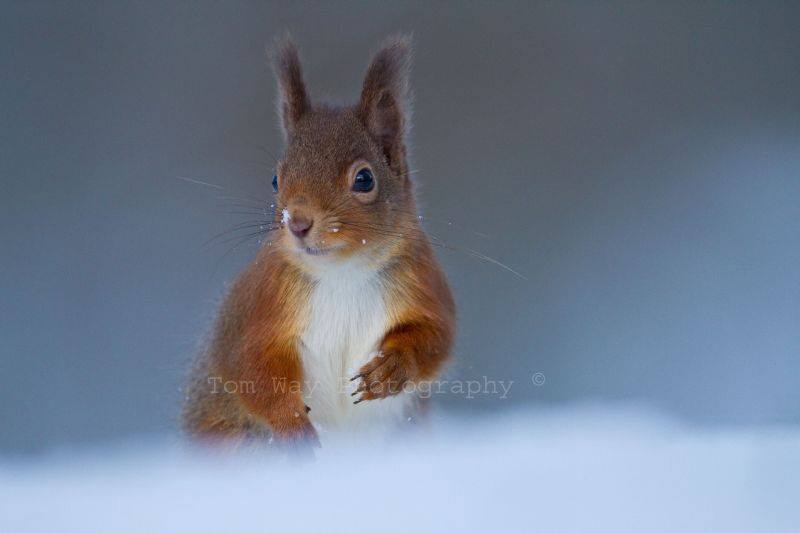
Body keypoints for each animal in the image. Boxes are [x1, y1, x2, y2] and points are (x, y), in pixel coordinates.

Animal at [183, 35, 456, 446]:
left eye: (364, 179)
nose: (297, 222)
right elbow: (249, 367)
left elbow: (436, 336)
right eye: (275, 179)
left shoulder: (422, 283)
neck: (342, 274)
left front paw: (390, 370)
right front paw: (292, 423)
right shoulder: (260, 303)